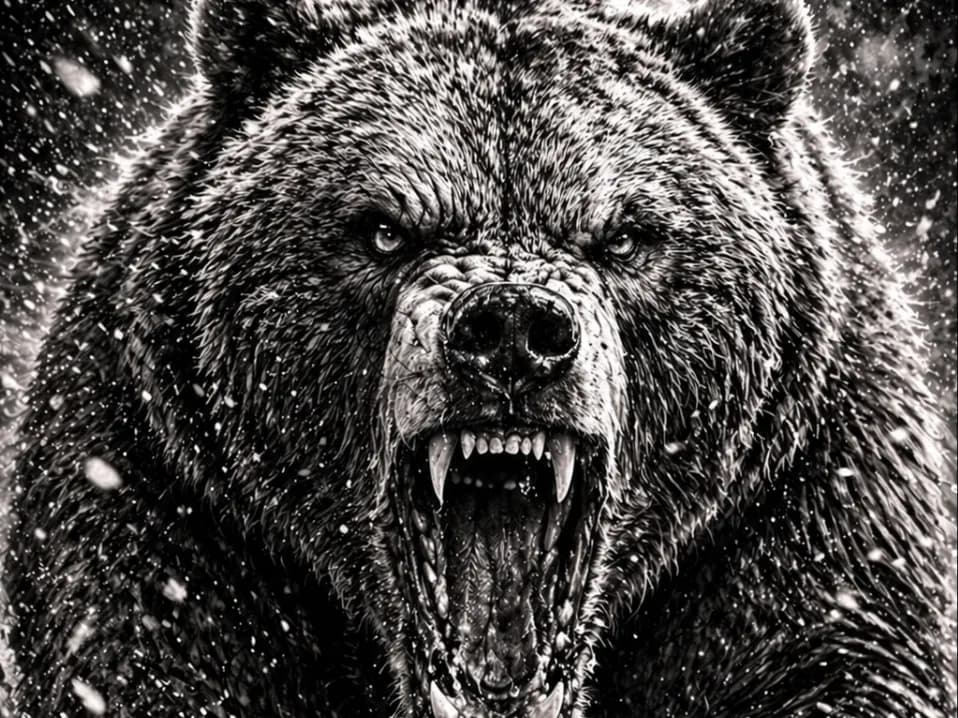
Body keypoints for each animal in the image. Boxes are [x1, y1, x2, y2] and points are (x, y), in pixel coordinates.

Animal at [2, 0, 955, 715]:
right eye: (385, 229)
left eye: (626, 235)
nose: (511, 330)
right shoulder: (169, 504)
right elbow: (145, 648)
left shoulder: (807, 516)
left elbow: (828, 648)